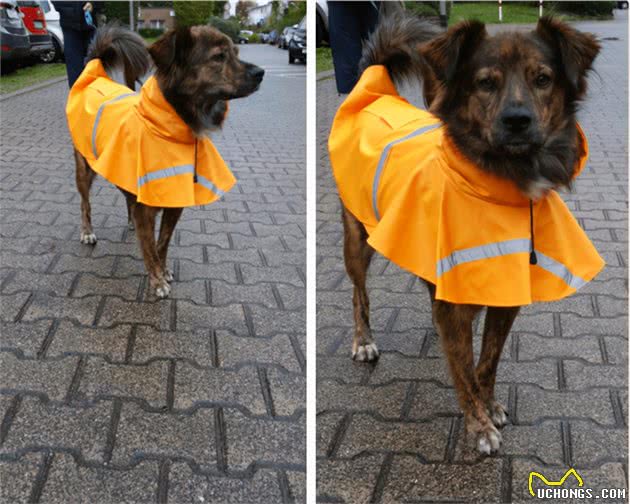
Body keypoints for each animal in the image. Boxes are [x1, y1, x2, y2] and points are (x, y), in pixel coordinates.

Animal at [68, 24, 266, 296]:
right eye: (219, 57)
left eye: (236, 52)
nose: (261, 73)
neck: (170, 126)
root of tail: (95, 74)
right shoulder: (146, 206)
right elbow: (150, 246)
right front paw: (157, 281)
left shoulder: (174, 204)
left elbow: (162, 242)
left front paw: (162, 271)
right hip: (85, 168)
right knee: (84, 203)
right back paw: (87, 232)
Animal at [330, 10, 604, 452]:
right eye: (485, 82)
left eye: (543, 78)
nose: (517, 120)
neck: (500, 183)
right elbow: (462, 367)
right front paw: (478, 425)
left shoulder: (505, 295)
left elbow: (486, 360)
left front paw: (488, 404)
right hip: (358, 239)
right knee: (359, 294)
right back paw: (364, 340)